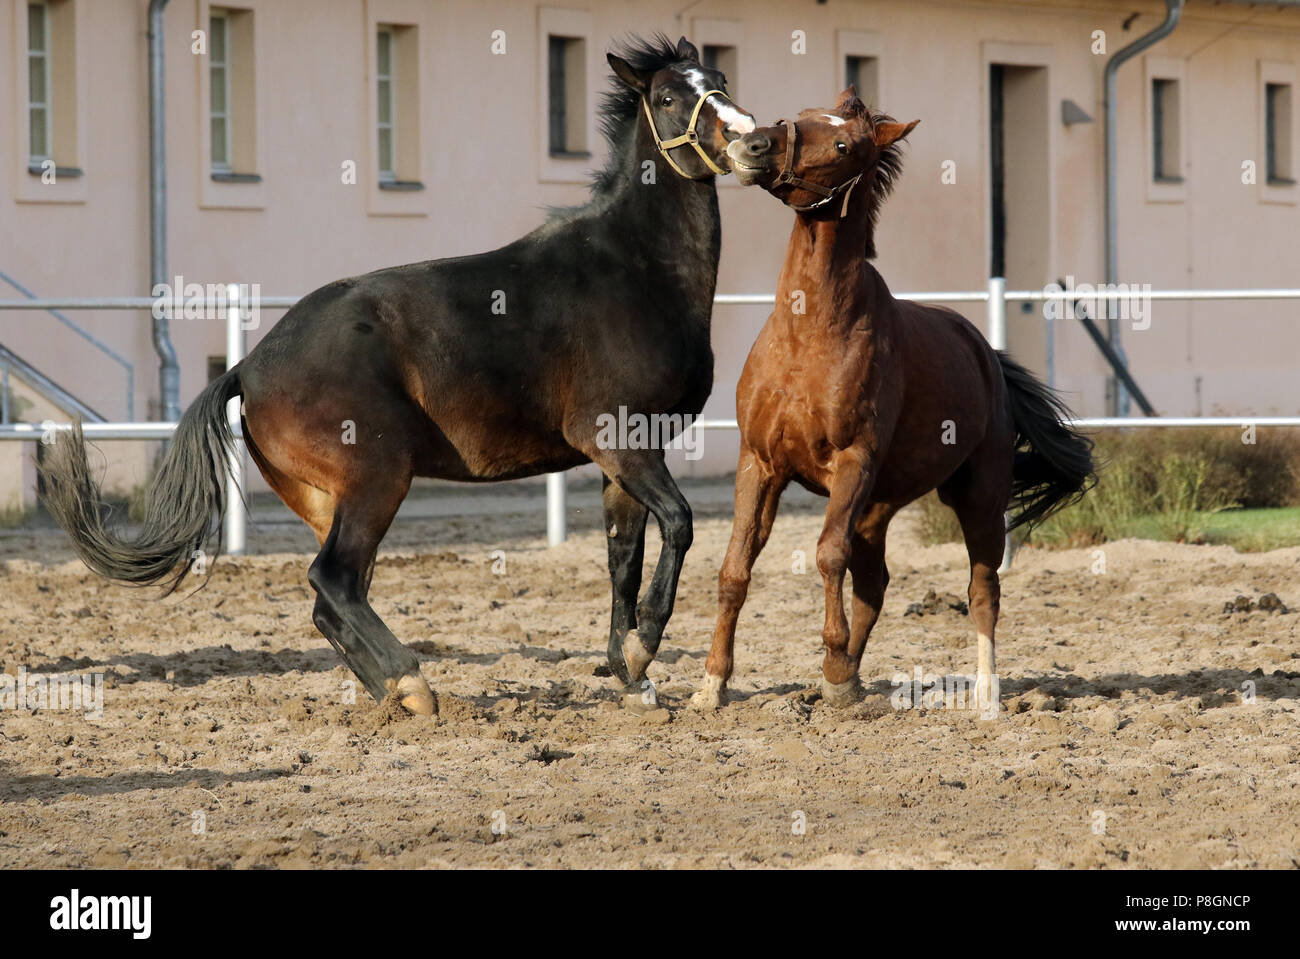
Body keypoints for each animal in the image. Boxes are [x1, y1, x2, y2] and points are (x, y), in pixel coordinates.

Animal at [38, 35, 759, 712]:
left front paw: (632, 671)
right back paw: (412, 683)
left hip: (326, 500)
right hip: (377, 479)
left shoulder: (626, 458)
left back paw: (392, 691)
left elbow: (622, 559)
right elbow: (680, 524)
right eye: (668, 97)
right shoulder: (619, 441)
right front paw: (641, 647)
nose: (752, 142)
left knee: (335, 598)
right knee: (333, 581)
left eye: (722, 80)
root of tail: (249, 364)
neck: (634, 271)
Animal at [696, 89, 1092, 712]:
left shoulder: (853, 463)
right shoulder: (759, 464)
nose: (753, 144)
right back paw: (851, 677)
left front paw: (833, 669)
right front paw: (711, 685)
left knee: (983, 590)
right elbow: (736, 567)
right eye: (798, 116)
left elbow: (826, 554)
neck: (809, 334)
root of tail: (986, 356)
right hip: (877, 509)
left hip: (978, 500)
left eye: (842, 145)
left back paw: (985, 696)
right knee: (874, 586)